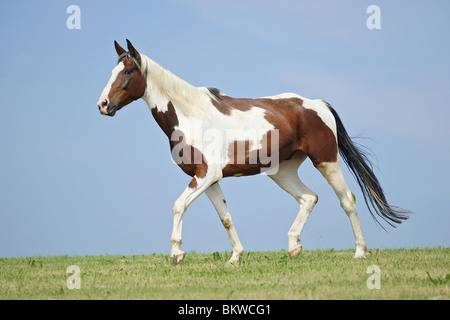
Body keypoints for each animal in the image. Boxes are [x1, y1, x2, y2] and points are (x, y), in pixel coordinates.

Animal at [96, 39, 410, 264]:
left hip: (326, 161)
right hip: (282, 171)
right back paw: (294, 247)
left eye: (127, 71)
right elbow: (225, 217)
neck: (191, 115)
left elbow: (178, 205)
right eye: (112, 72)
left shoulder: (205, 175)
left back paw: (359, 252)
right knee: (309, 198)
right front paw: (235, 257)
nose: (103, 105)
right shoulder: (210, 179)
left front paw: (176, 254)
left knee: (347, 200)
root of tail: (318, 104)